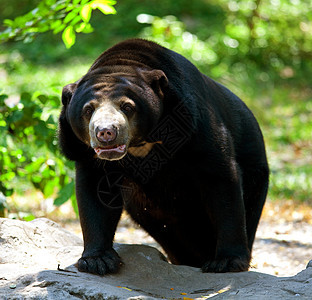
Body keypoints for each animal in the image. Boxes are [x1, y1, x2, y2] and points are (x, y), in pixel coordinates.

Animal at [58, 38, 268, 276]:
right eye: (88, 110)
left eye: (127, 107)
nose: (106, 132)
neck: (140, 143)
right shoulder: (86, 154)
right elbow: (95, 193)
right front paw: (97, 261)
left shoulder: (193, 123)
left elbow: (220, 179)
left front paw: (226, 262)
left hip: (256, 173)